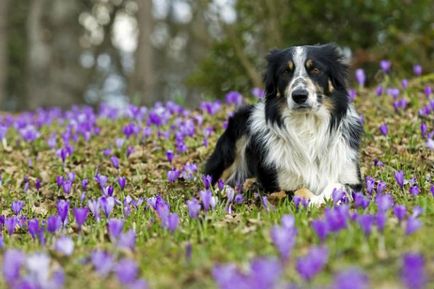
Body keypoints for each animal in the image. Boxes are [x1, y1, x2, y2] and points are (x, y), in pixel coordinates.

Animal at [204, 44, 362, 204]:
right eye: (286, 71)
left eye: (315, 70)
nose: (299, 96)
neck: (307, 124)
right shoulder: (280, 188)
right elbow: (302, 191)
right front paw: (316, 202)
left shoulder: (352, 179)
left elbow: (337, 185)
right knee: (214, 181)